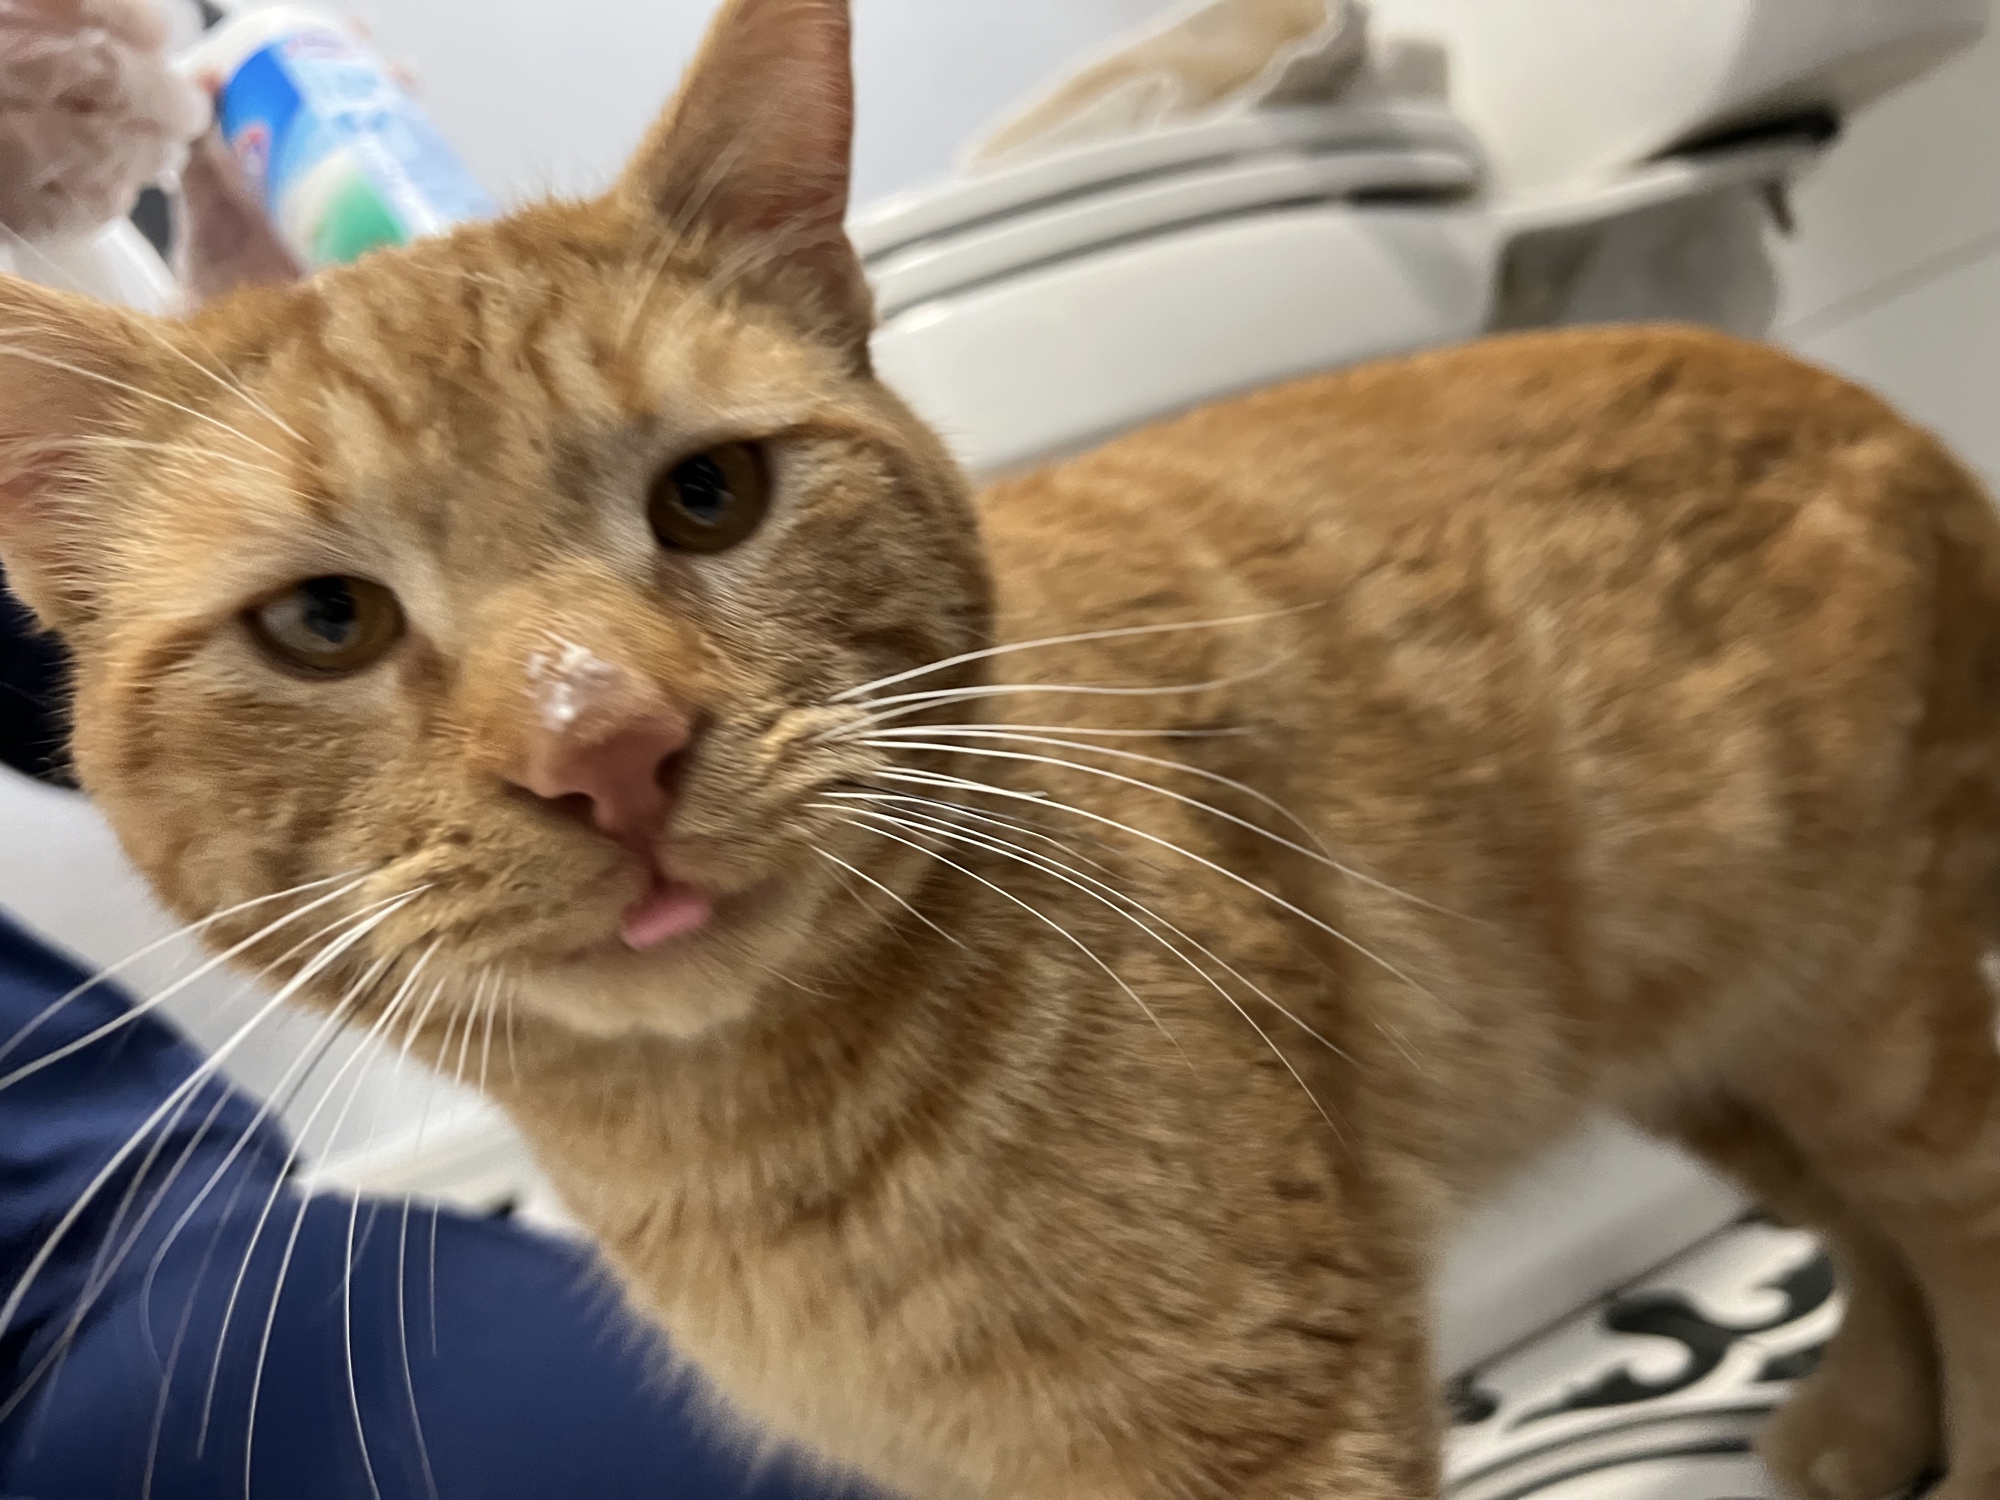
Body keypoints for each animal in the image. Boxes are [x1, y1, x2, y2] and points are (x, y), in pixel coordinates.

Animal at [2, 0, 1999, 1495]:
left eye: (711, 496)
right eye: (325, 625)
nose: (608, 745)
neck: (746, 1159)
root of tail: (1859, 397)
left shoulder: (1282, 1414)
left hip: (1870, 1022)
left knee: (1949, 1211)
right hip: (1717, 1047)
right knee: (1866, 1230)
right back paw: (1857, 1421)